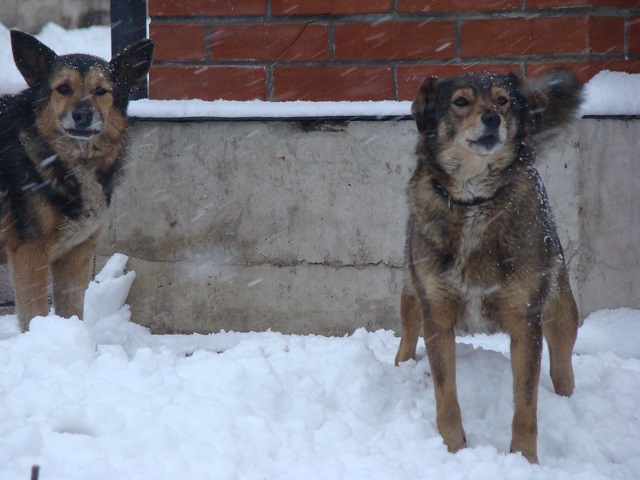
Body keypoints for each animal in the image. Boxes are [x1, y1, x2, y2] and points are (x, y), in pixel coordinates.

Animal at [0, 29, 154, 330]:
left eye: (101, 91)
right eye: (63, 89)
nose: (82, 115)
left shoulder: (75, 255)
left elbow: (72, 311)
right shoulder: (29, 253)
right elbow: (34, 313)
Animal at [392, 69, 584, 464]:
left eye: (502, 100)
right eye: (460, 101)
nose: (493, 118)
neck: (473, 201)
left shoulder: (526, 321)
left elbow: (525, 405)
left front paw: (524, 461)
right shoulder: (437, 315)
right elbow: (445, 396)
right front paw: (453, 450)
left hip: (560, 311)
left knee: (562, 369)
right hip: (412, 297)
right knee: (405, 340)